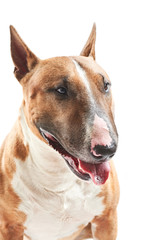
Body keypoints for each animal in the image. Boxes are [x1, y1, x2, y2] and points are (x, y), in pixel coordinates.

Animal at [0, 23, 119, 239]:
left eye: (106, 85)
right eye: (61, 90)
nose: (106, 150)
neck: (59, 178)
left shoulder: (106, 219)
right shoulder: (10, 227)